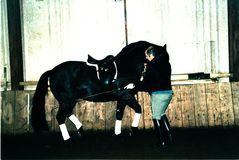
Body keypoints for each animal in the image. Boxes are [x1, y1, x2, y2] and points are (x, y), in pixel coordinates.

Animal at [30, 40, 167, 141]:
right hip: (66, 100)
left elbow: (119, 114)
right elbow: (138, 109)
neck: (126, 66)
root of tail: (52, 71)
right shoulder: (126, 95)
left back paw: (80, 130)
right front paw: (132, 130)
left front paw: (118, 133)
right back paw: (67, 138)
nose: (165, 74)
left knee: (67, 113)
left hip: (69, 100)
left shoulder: (123, 97)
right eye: (162, 57)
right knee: (60, 117)